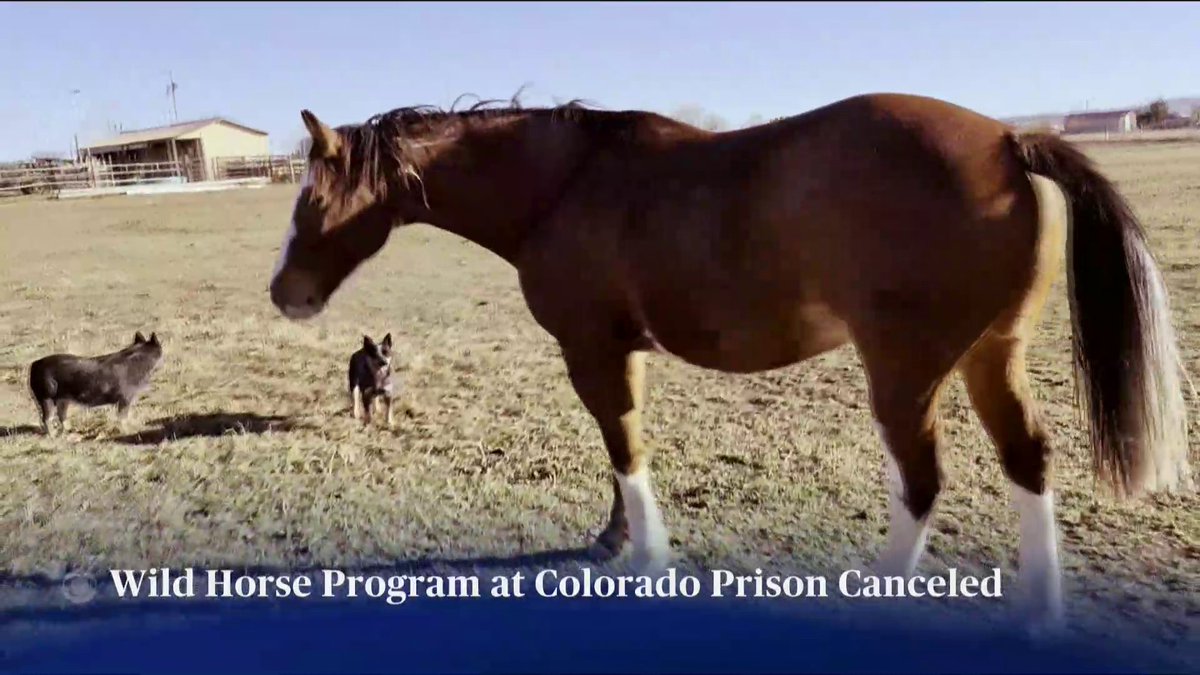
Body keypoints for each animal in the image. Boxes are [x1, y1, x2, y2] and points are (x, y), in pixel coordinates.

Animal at [268, 93, 1191, 634]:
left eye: (312, 195)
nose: (285, 294)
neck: (565, 185)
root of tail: (1005, 140)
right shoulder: (619, 349)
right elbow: (624, 447)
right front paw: (615, 538)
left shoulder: (590, 348)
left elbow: (623, 446)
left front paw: (646, 556)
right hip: (988, 356)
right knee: (1027, 459)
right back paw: (1040, 616)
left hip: (905, 371)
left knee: (924, 479)